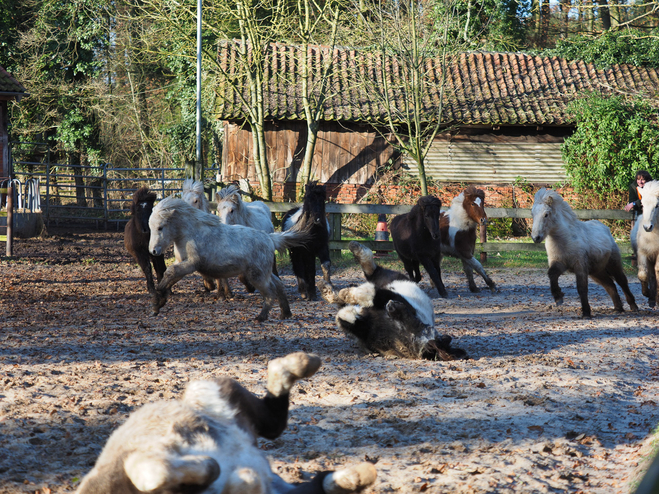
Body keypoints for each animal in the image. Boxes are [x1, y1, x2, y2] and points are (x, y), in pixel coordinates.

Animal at [148, 195, 308, 322]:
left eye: (160, 227)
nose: (153, 251)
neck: (191, 233)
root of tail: (270, 238)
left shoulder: (191, 264)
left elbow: (171, 272)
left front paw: (156, 302)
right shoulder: (182, 262)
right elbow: (170, 275)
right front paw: (159, 300)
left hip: (257, 276)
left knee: (270, 293)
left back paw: (261, 317)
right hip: (264, 273)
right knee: (279, 285)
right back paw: (285, 313)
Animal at [532, 187, 640, 318]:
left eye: (546, 214)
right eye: (532, 214)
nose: (536, 237)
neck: (564, 239)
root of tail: (606, 229)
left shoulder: (580, 266)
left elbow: (582, 288)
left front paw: (586, 312)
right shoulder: (560, 263)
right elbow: (552, 274)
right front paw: (558, 298)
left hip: (613, 265)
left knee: (622, 282)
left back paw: (633, 306)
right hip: (597, 272)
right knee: (610, 285)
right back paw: (618, 308)